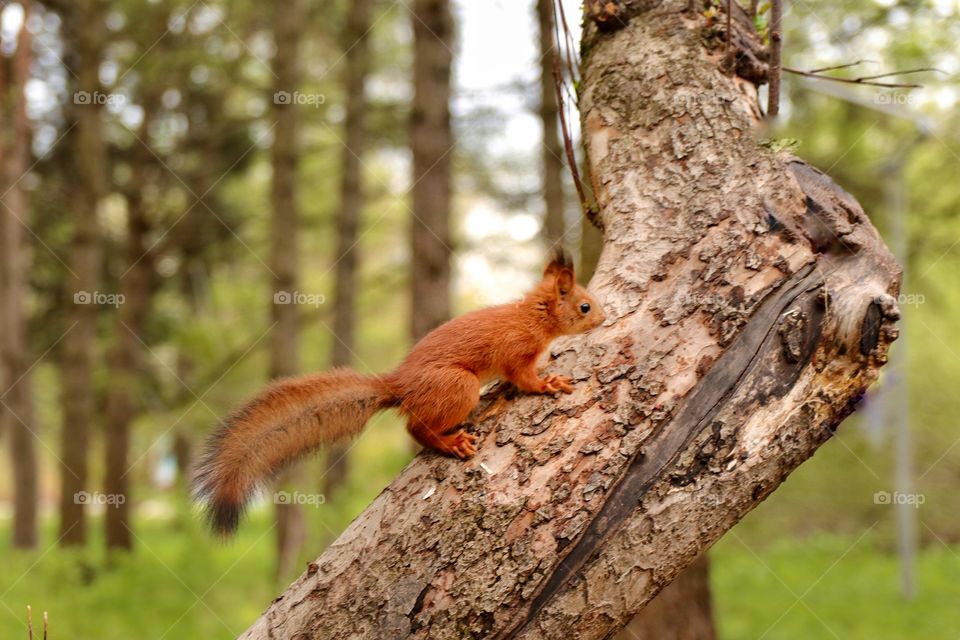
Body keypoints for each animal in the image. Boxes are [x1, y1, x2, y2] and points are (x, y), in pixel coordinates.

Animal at [192, 247, 606, 535]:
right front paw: (548, 383)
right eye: (585, 306)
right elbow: (524, 378)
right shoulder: (515, 351)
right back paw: (449, 443)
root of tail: (399, 385)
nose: (604, 318)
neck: (532, 316)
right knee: (415, 428)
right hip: (459, 387)